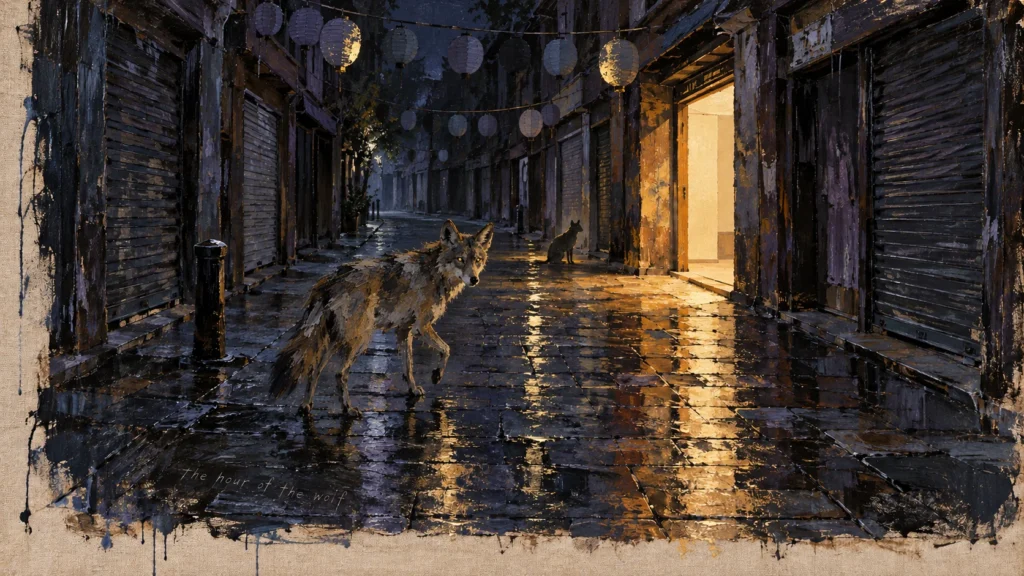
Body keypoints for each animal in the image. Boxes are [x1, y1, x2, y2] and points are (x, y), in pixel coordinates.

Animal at [269, 220, 495, 418]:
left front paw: (413, 390)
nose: (474, 279)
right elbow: (446, 349)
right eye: (460, 259)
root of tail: (331, 280)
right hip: (359, 341)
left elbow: (408, 366)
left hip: (338, 340)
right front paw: (436, 375)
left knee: (315, 369)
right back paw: (348, 410)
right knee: (339, 374)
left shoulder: (404, 330)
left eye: (477, 260)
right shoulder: (422, 326)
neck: (436, 272)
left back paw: (306, 406)